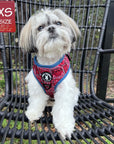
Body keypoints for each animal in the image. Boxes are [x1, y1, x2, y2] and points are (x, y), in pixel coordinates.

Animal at [19, 8, 80, 139]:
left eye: (58, 23)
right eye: (40, 27)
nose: (51, 28)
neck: (50, 63)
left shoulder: (65, 90)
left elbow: (63, 108)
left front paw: (65, 126)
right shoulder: (36, 87)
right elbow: (36, 101)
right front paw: (33, 113)